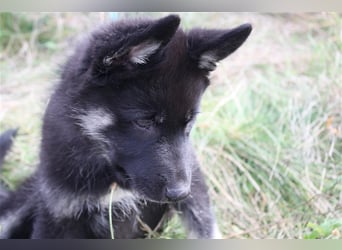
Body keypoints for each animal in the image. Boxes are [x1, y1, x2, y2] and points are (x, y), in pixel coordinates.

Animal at [0, 14, 251, 239]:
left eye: (188, 122)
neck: (113, 179)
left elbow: (205, 227)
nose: (180, 193)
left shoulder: (194, 188)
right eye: (144, 122)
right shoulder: (59, 215)